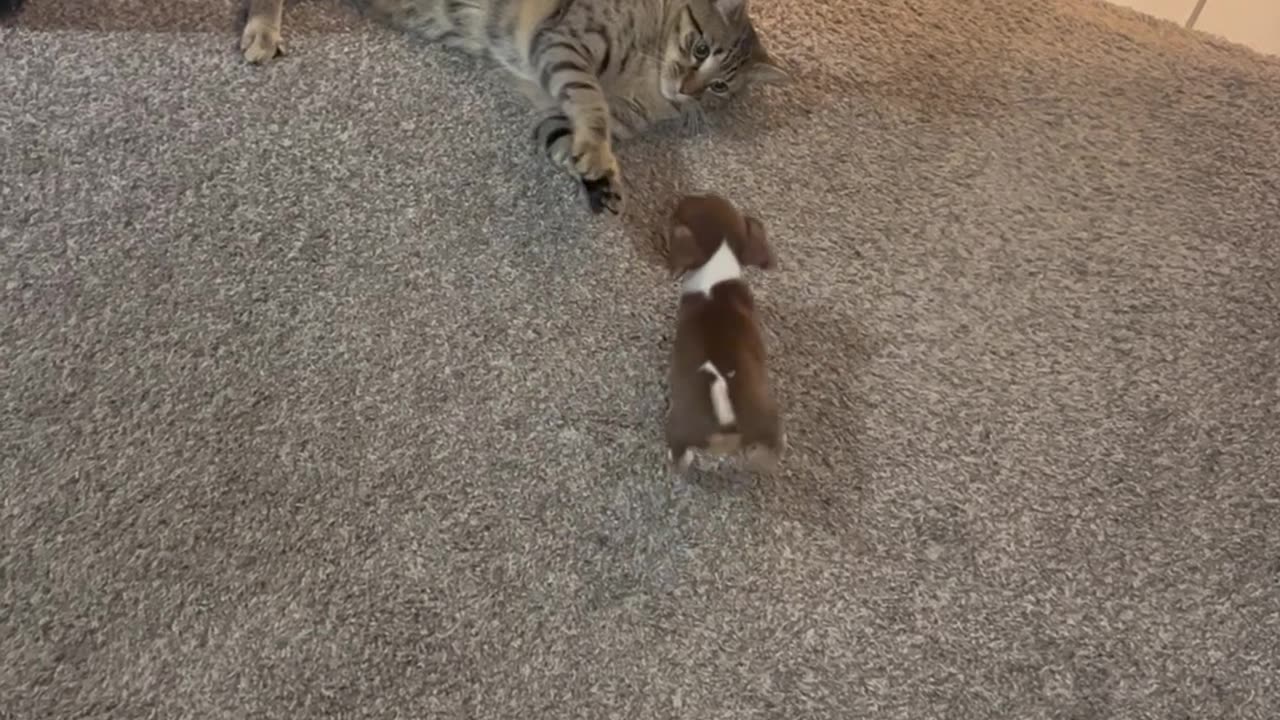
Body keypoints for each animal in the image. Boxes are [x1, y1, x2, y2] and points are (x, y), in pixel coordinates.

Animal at [236, 0, 783, 212]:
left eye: (721, 88)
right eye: (700, 48)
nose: (690, 89)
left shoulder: (553, 112)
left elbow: (565, 141)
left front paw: (599, 178)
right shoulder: (564, 42)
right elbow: (591, 103)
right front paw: (599, 157)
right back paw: (261, 31)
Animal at [665, 190, 783, 474]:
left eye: (681, 211)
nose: (682, 197)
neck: (717, 264)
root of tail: (726, 423)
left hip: (678, 430)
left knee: (679, 455)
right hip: (769, 422)